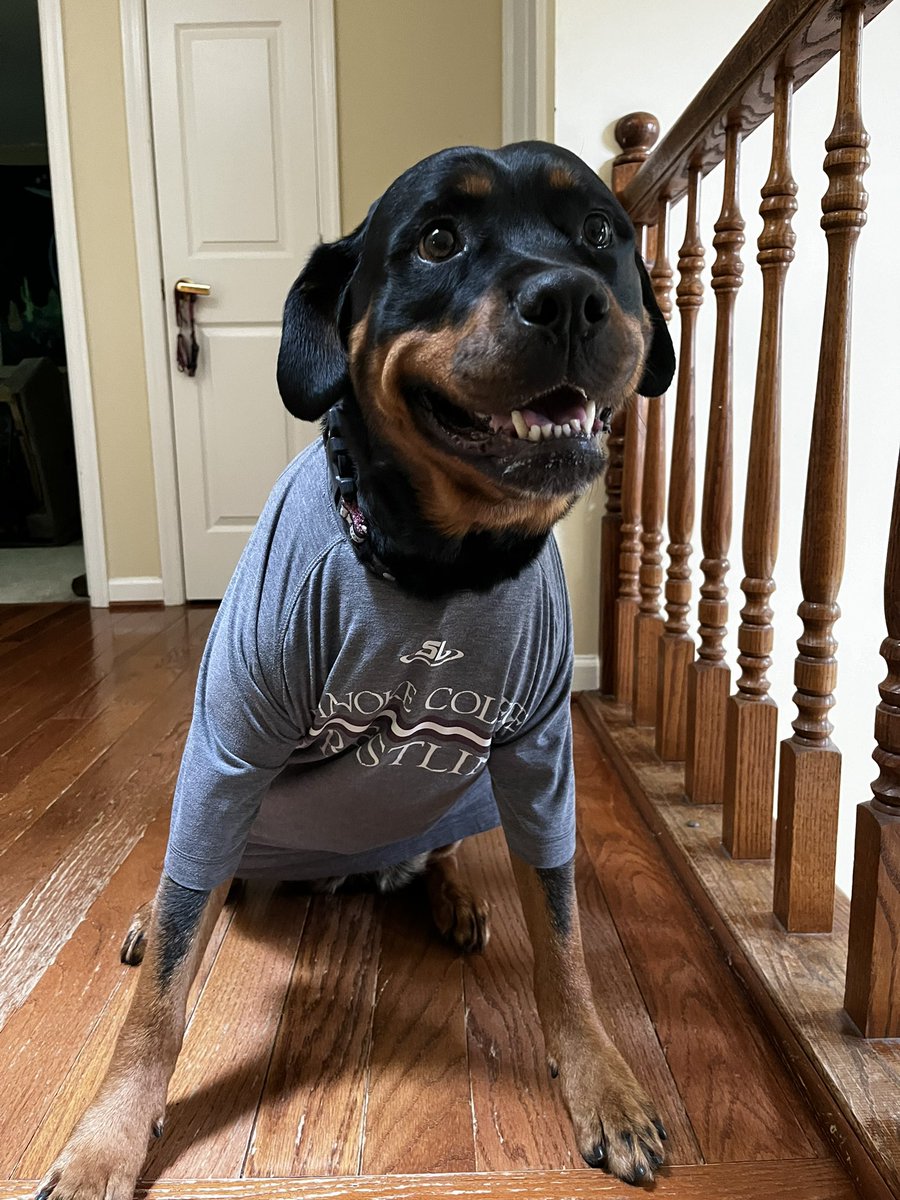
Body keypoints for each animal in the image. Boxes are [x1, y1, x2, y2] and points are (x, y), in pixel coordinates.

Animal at [38, 138, 672, 1190]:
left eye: (600, 235)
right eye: (437, 239)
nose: (571, 298)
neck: (440, 564)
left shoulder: (541, 762)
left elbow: (565, 934)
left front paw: (604, 1081)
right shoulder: (229, 748)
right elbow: (161, 996)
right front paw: (105, 1143)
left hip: (468, 791)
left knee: (437, 853)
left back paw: (452, 898)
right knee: (188, 888)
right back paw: (153, 912)